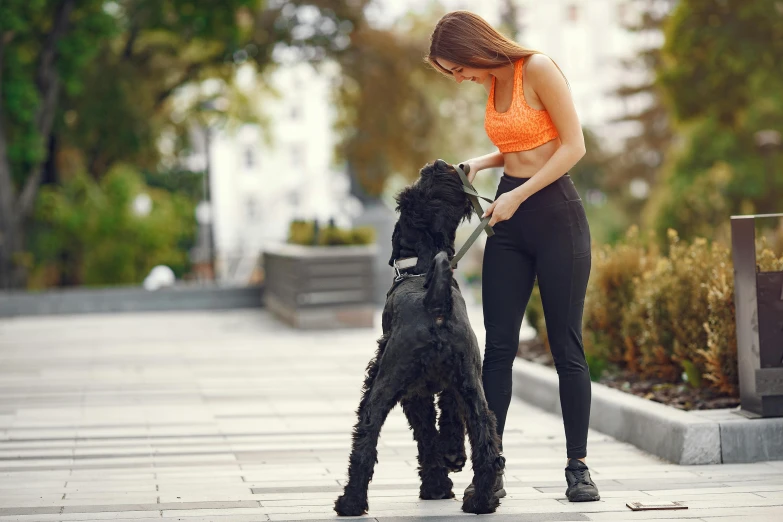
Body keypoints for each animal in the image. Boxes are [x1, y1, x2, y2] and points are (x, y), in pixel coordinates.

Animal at [334, 160, 506, 512]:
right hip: (472, 387)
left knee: (366, 435)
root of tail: (433, 305)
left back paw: (350, 502)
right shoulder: (453, 386)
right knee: (486, 440)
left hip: (386, 386)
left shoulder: (414, 394)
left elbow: (426, 436)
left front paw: (437, 485)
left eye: (414, 196)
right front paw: (450, 463)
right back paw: (480, 501)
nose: (438, 165)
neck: (419, 268)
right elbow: (448, 424)